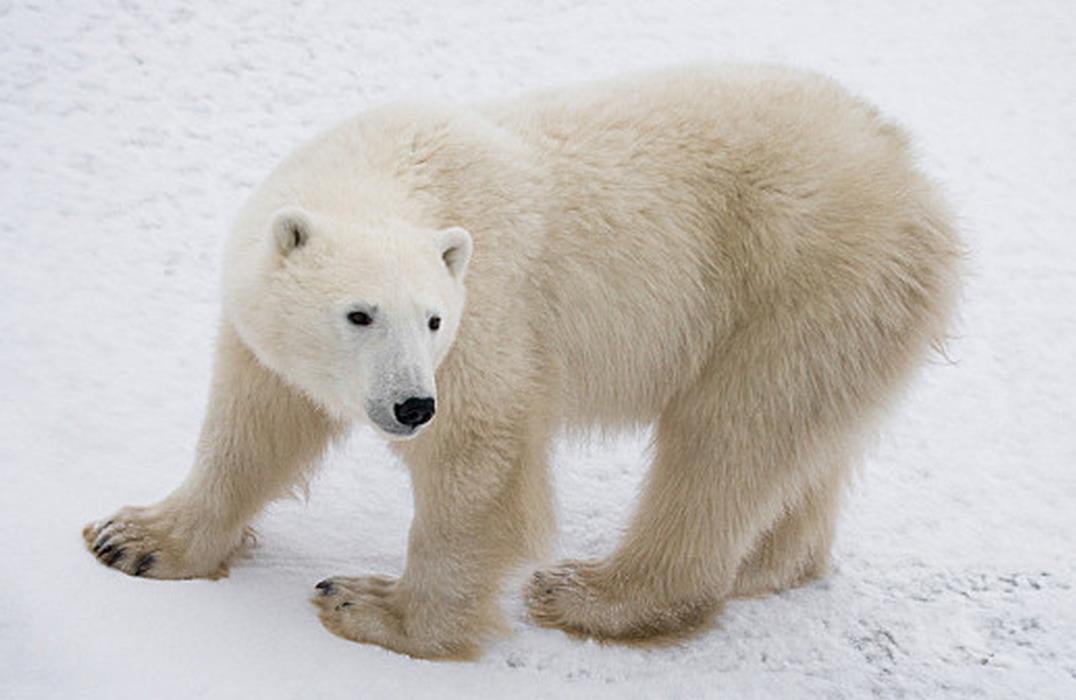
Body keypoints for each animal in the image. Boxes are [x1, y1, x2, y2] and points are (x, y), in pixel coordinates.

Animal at [81, 64, 959, 658]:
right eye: (358, 314)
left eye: (434, 319)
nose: (410, 406)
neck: (390, 164)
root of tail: (915, 177)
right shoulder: (267, 322)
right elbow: (255, 422)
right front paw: (134, 539)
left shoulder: (491, 311)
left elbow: (480, 456)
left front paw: (374, 606)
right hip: (842, 314)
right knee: (795, 444)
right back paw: (768, 563)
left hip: (798, 280)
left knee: (726, 442)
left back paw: (591, 592)